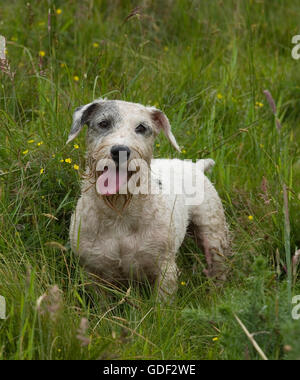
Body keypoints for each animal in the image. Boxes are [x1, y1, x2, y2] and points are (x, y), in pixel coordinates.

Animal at [68, 98, 230, 300]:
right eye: (104, 123)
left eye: (141, 127)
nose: (120, 151)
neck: (120, 213)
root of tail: (196, 166)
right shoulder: (93, 271)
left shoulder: (165, 270)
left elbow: (160, 303)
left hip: (212, 233)